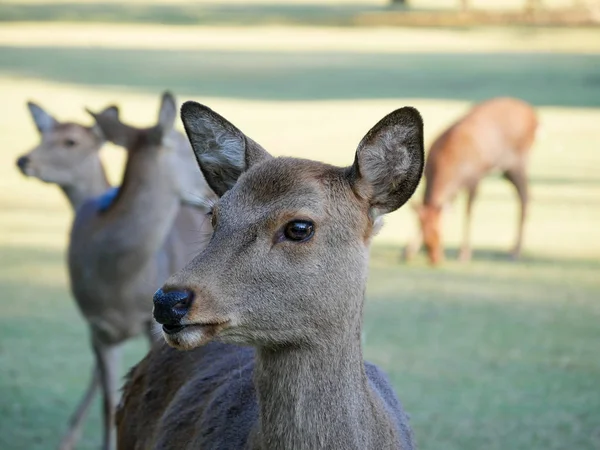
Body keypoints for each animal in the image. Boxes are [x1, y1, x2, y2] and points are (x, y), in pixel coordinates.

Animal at [14, 93, 218, 448]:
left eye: (71, 141)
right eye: (43, 134)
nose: (24, 161)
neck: (120, 283)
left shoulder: (155, 327)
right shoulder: (97, 326)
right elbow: (109, 403)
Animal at [404, 95, 540, 264]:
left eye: (439, 232)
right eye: (422, 229)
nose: (435, 259)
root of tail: (534, 116)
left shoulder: (475, 177)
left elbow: (468, 212)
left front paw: (464, 253)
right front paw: (407, 252)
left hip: (519, 161)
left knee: (525, 197)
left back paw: (516, 251)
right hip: (507, 170)